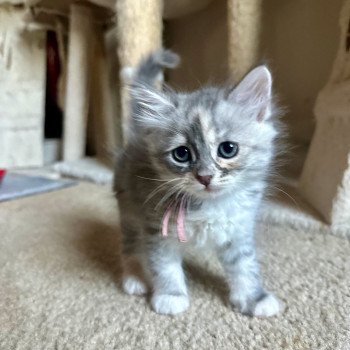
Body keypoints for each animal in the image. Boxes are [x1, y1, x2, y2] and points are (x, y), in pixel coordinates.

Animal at [113, 50, 284, 318]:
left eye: (228, 149)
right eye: (182, 154)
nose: (205, 176)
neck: (209, 206)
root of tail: (139, 133)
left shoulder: (238, 230)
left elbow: (244, 266)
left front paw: (253, 297)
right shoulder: (157, 230)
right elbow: (165, 267)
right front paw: (171, 296)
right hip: (129, 212)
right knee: (130, 247)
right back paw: (134, 277)